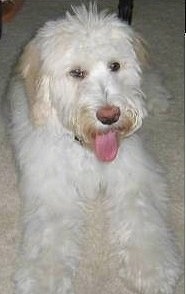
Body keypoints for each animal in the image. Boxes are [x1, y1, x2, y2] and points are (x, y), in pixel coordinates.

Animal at [6, 2, 180, 294]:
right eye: (76, 73)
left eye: (115, 65)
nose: (109, 116)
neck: (86, 148)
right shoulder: (52, 188)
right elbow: (50, 232)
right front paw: (45, 276)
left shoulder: (134, 176)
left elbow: (143, 215)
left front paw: (152, 267)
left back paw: (157, 98)